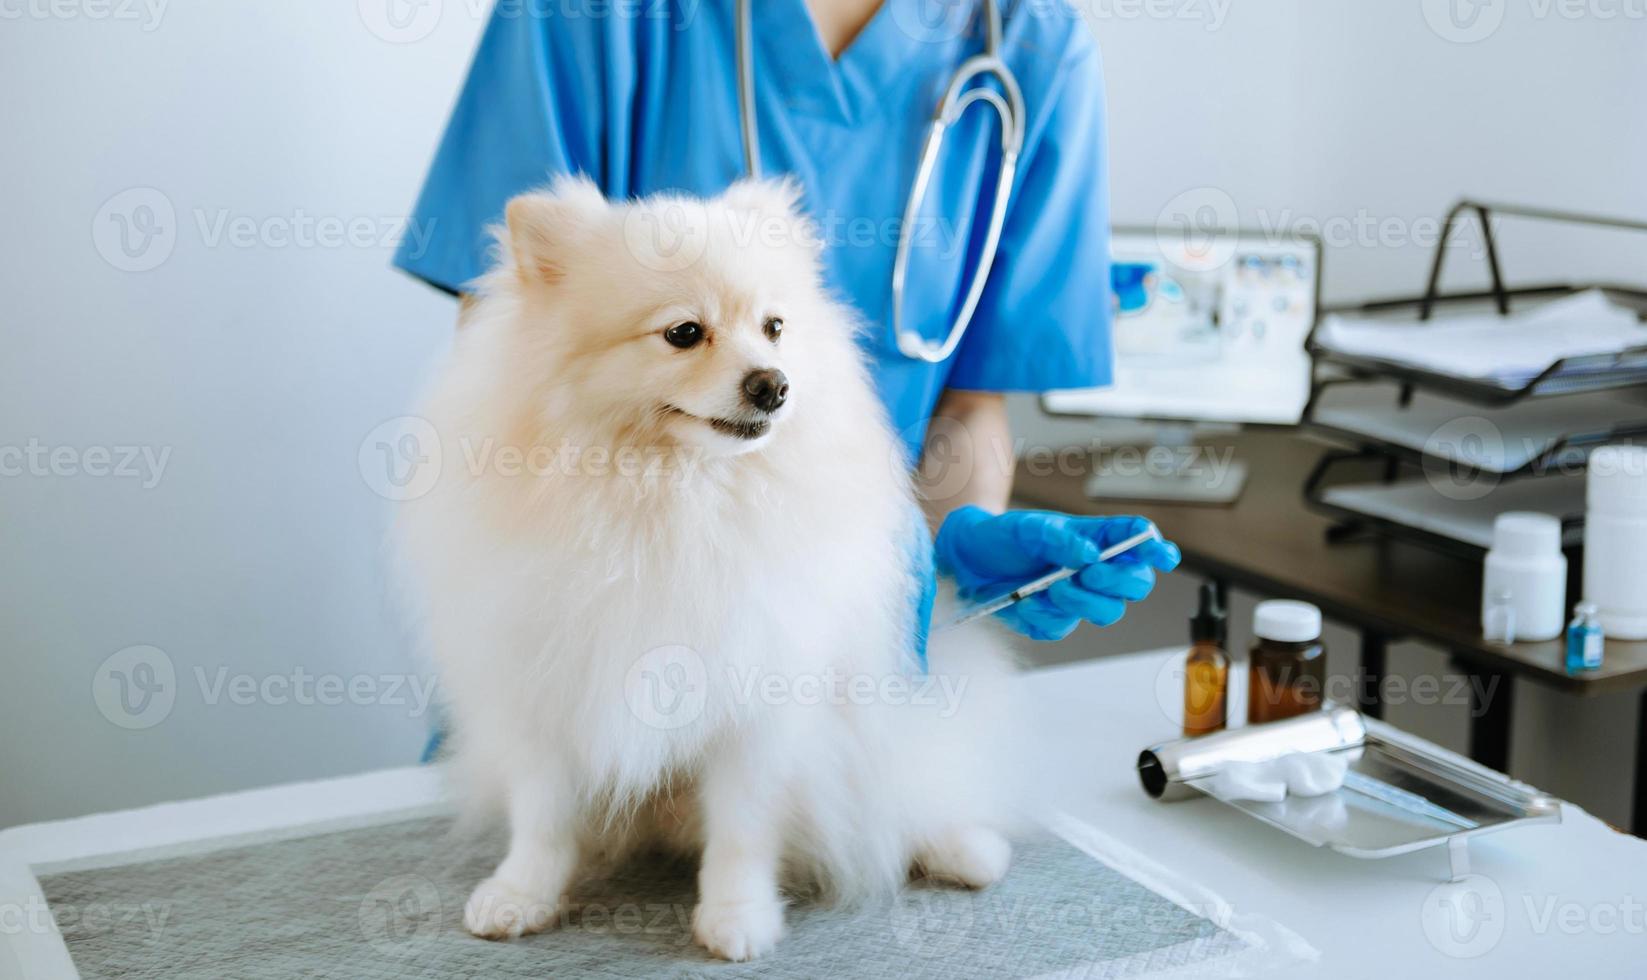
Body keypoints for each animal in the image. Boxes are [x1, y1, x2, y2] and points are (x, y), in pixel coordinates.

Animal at [396, 174, 1027, 961]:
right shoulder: (547, 688)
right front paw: (520, 894)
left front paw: (737, 915)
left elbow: (741, 829)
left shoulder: (757, 697)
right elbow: (542, 818)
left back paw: (966, 849)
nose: (773, 384)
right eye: (684, 333)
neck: (671, 494)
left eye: (775, 328)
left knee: (913, 794)